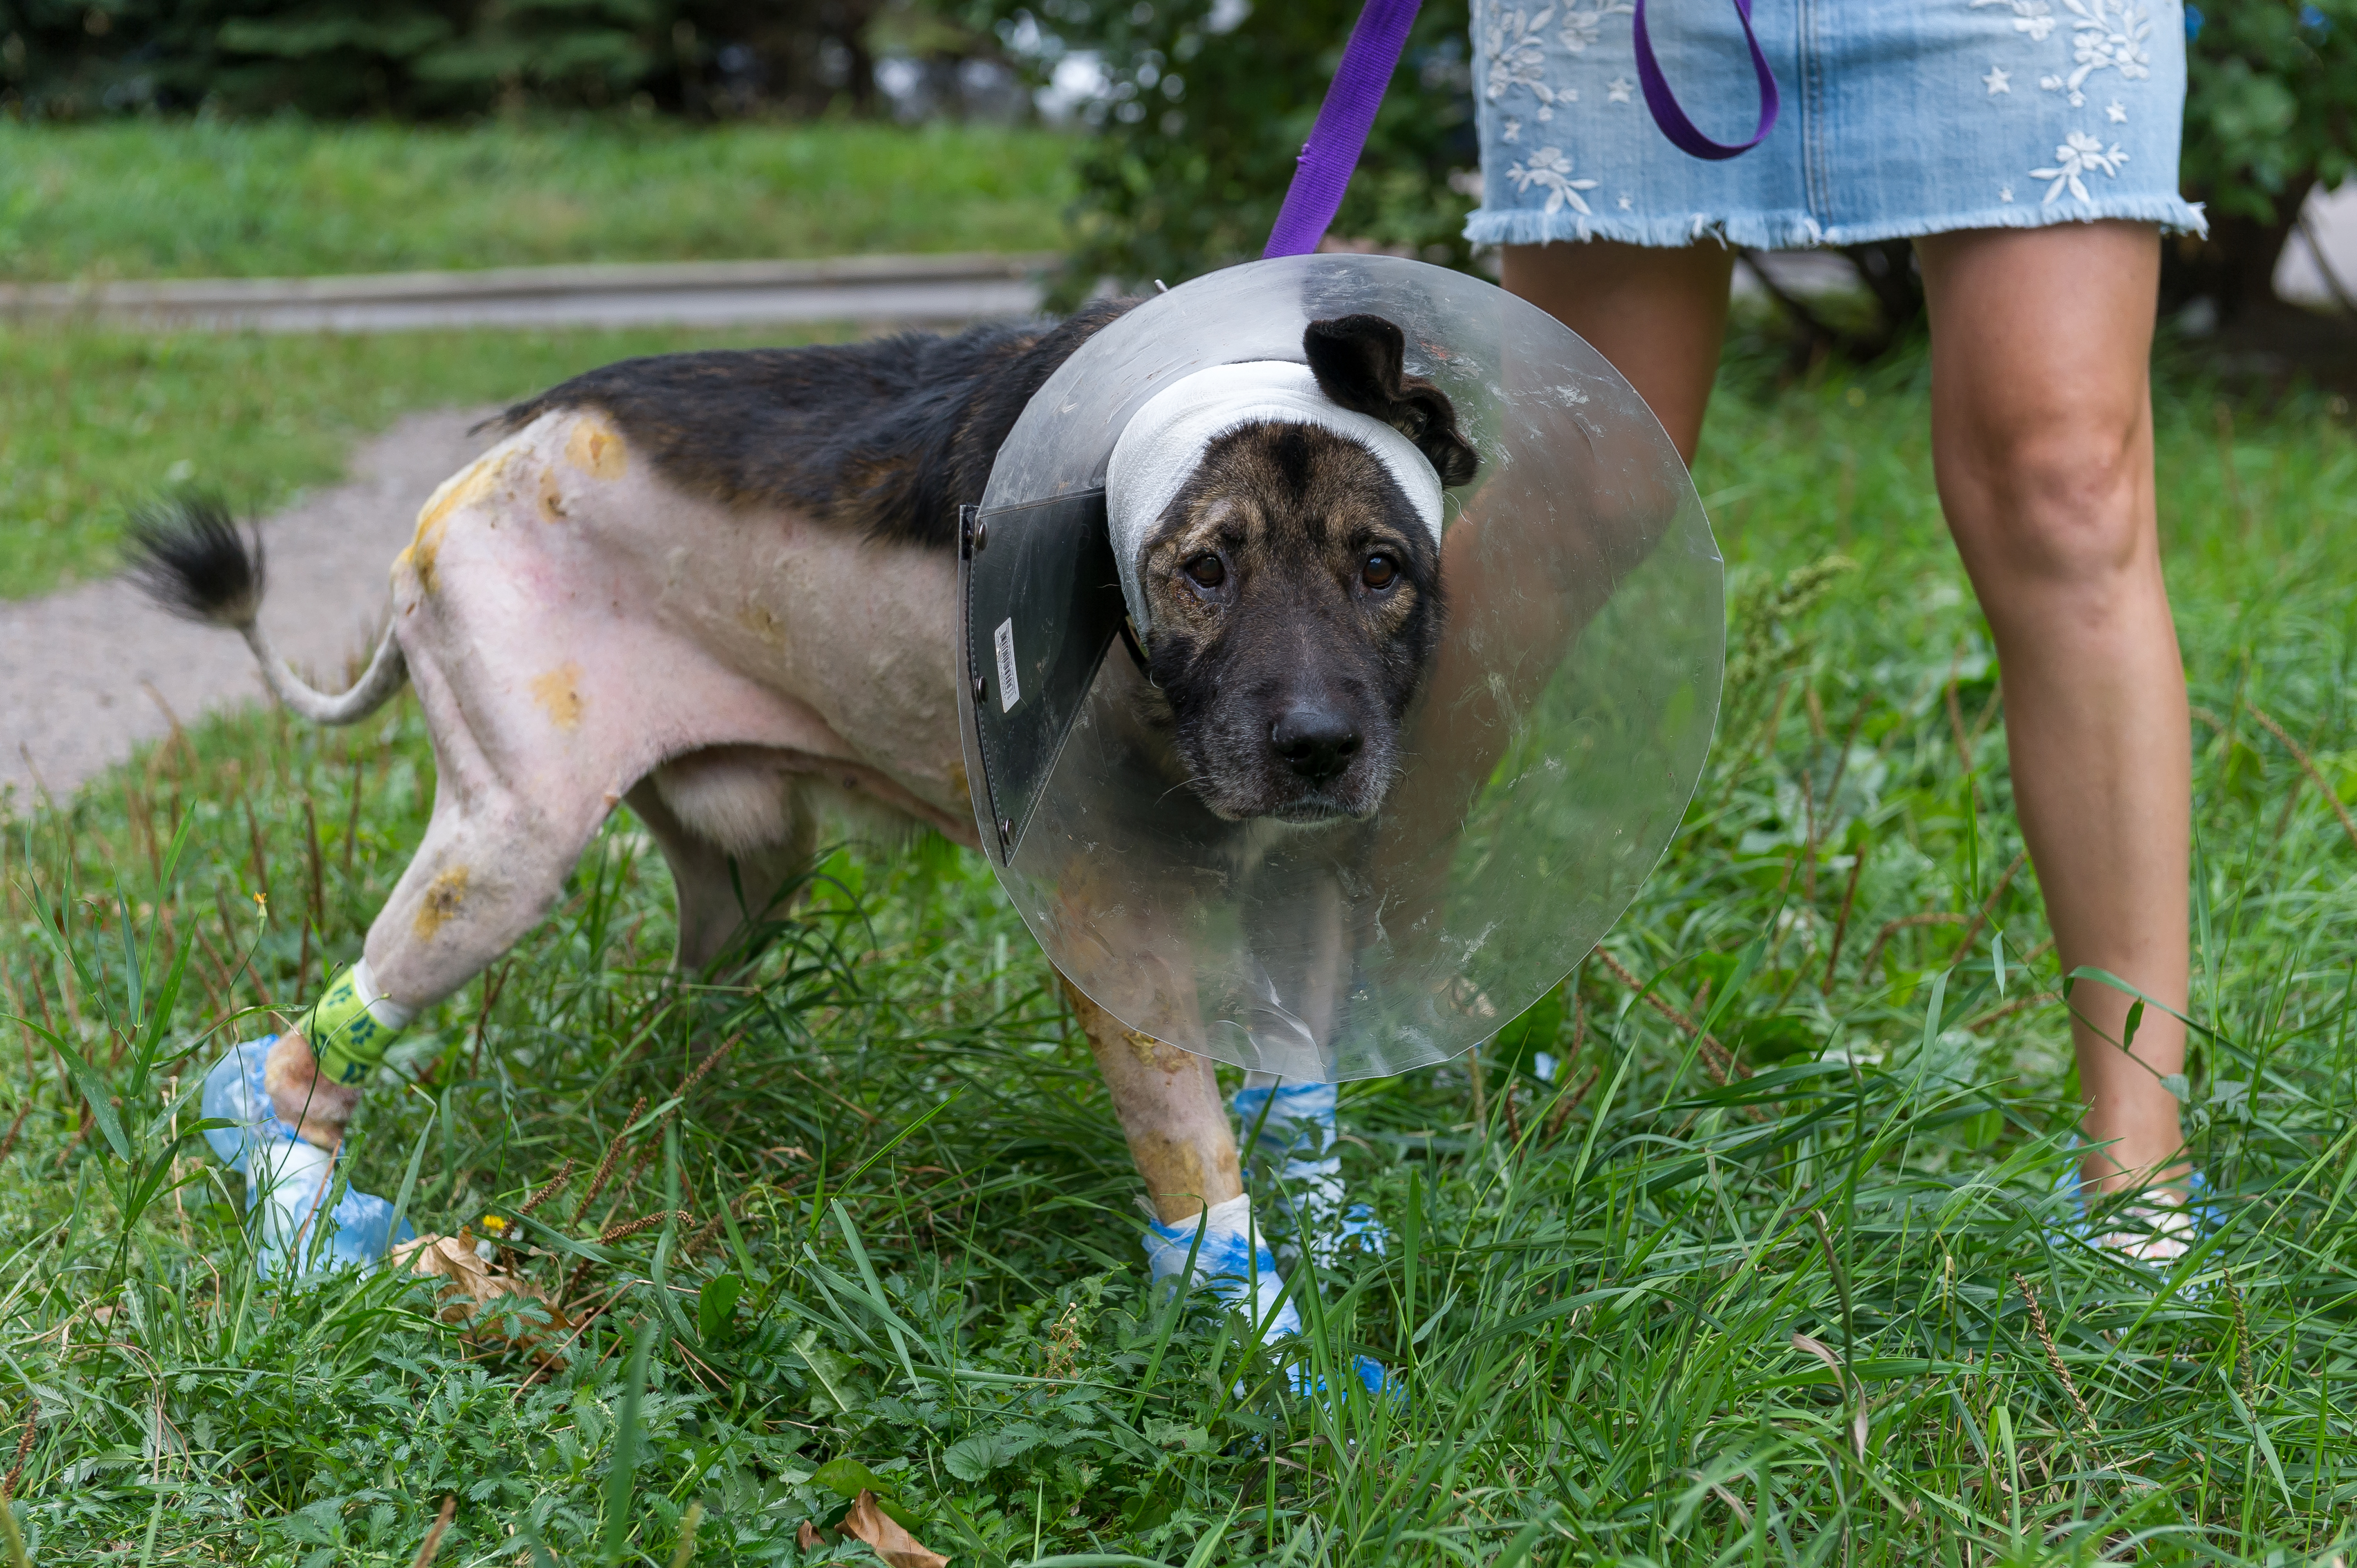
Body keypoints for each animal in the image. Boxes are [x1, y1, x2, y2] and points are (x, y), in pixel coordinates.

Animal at [133, 302, 1470, 1368]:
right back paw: (301, 1225)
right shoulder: (1117, 942)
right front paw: (1274, 1358)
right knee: (309, 1057)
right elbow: (1199, 1169)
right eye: (1201, 569)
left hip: (743, 871)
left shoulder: (1306, 900)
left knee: (678, 1004)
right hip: (504, 853)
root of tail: (484, 471)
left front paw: (1336, 1256)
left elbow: (1298, 1098)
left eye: (1380, 566)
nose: (1317, 745)